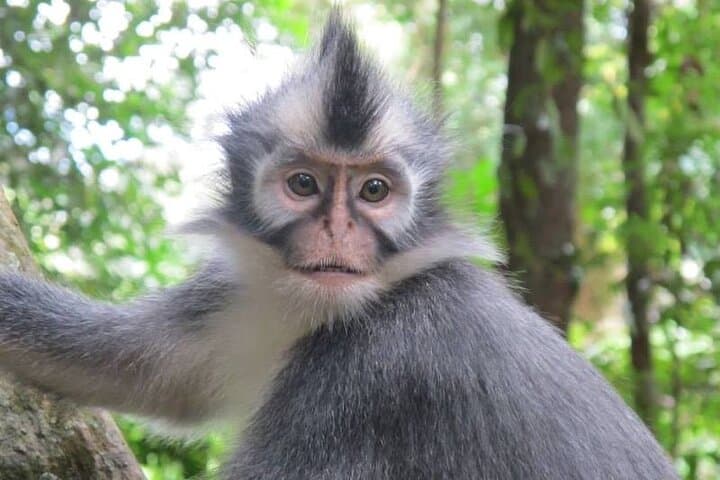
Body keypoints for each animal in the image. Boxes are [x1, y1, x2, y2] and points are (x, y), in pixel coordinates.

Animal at [0, 11, 678, 480]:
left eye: (374, 190)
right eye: (304, 184)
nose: (336, 232)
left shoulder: (380, 366)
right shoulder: (242, 299)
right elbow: (136, 367)